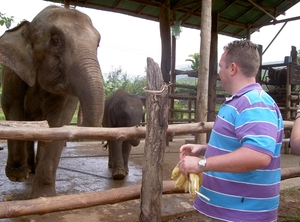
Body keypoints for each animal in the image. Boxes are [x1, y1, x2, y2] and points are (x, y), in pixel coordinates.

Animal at [0, 5, 104, 198]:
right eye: (55, 40)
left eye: (98, 43)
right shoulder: (13, 74)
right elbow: (12, 109)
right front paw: (17, 175)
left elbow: (59, 122)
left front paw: (43, 197)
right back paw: (28, 171)